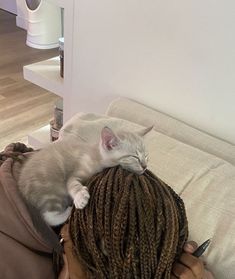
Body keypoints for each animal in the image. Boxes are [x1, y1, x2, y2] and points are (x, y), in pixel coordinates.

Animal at [17, 127, 151, 228]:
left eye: (146, 156)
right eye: (134, 157)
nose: (145, 166)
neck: (96, 155)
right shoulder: (76, 172)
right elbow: (72, 183)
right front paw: (80, 197)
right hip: (52, 190)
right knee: (49, 217)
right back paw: (68, 211)